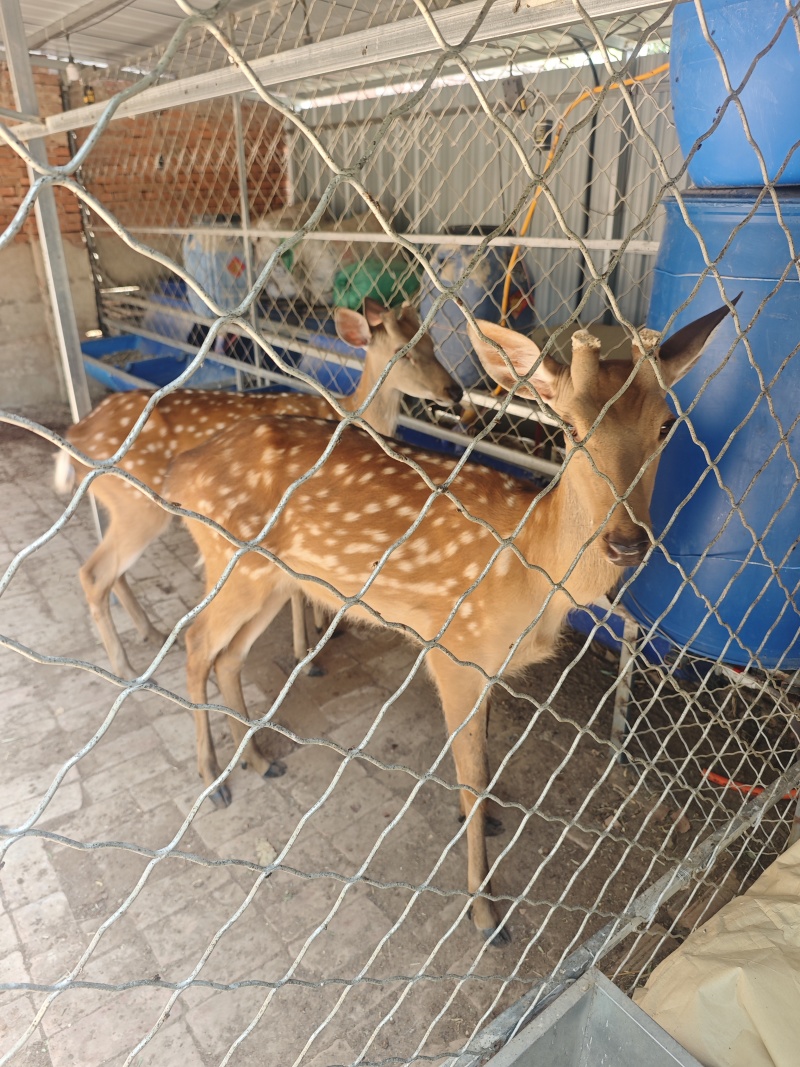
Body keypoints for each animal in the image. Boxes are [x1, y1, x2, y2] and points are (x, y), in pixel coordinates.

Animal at [54, 300, 462, 678]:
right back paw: (124, 667)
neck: (347, 413)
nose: (455, 391)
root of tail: (75, 434)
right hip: (139, 506)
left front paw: (319, 627)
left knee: (108, 569)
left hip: (123, 504)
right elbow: (296, 588)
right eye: (403, 351)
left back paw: (148, 634)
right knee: (94, 573)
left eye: (432, 343)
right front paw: (306, 652)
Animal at [164, 298, 736, 944]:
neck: (533, 571)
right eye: (568, 428)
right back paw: (214, 778)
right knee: (194, 641)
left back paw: (260, 759)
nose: (626, 542)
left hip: (272, 577)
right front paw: (485, 910)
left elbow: (482, 756)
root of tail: (182, 470)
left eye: (667, 426)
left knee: (228, 654)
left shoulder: (485, 664)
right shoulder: (452, 649)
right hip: (233, 560)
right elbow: (473, 771)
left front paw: (486, 821)